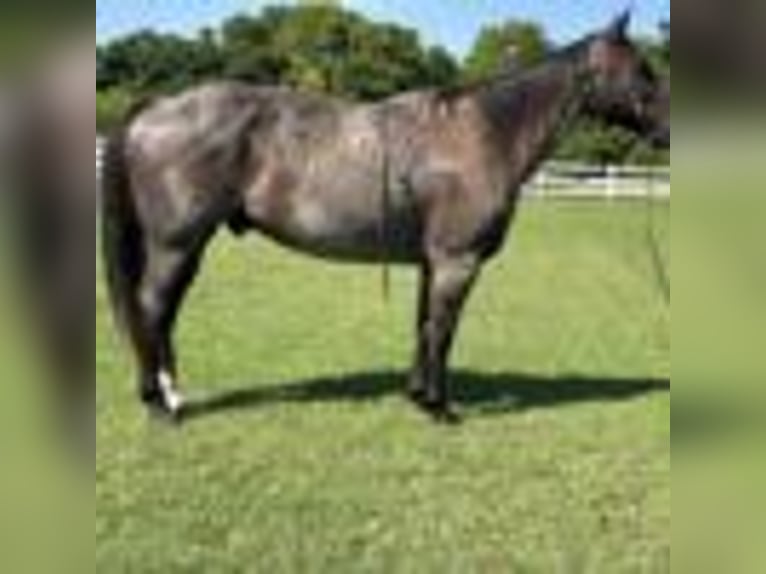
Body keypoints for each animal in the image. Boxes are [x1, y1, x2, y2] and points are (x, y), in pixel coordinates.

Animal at [102, 13, 669, 424]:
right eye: (642, 69)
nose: (666, 128)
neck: (484, 134)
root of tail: (158, 107)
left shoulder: (431, 263)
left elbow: (423, 327)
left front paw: (418, 395)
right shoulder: (457, 262)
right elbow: (443, 331)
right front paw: (440, 409)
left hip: (186, 247)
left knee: (162, 314)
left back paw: (173, 396)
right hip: (176, 245)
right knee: (152, 309)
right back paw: (159, 403)